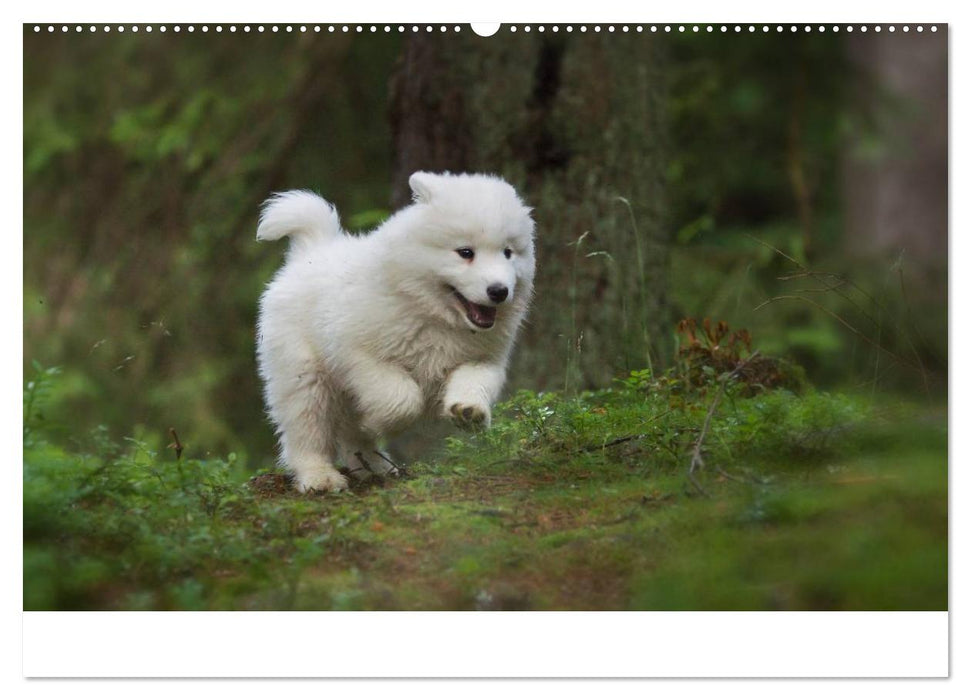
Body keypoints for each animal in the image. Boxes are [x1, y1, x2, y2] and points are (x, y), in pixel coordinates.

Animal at [254, 171, 536, 492]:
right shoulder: (360, 354)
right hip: (304, 372)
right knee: (307, 427)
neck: (434, 315)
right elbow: (401, 399)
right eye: (465, 252)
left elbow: (475, 380)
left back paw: (374, 467)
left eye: (508, 253)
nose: (499, 291)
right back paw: (319, 476)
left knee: (348, 435)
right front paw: (376, 421)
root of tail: (311, 251)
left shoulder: (483, 357)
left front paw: (469, 410)